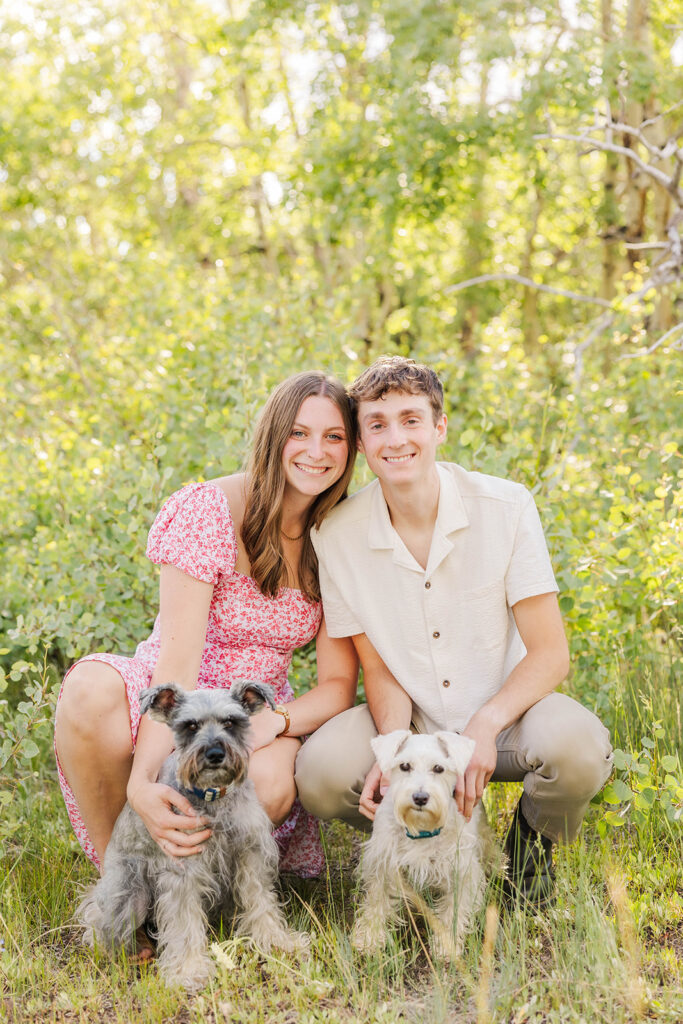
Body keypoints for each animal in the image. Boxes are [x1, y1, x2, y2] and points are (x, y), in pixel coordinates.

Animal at [76, 679, 307, 991]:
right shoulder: (182, 867)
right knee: (100, 918)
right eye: (191, 725)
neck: (214, 797)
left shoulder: (250, 853)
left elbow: (261, 901)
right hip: (129, 893)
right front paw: (189, 971)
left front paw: (277, 942)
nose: (215, 754)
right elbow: (183, 922)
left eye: (231, 722)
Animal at [356, 729, 493, 958]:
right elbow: (377, 900)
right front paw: (369, 938)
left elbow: (453, 910)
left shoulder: (460, 870)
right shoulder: (382, 862)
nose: (420, 797)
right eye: (404, 766)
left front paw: (447, 945)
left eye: (438, 768)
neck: (421, 828)